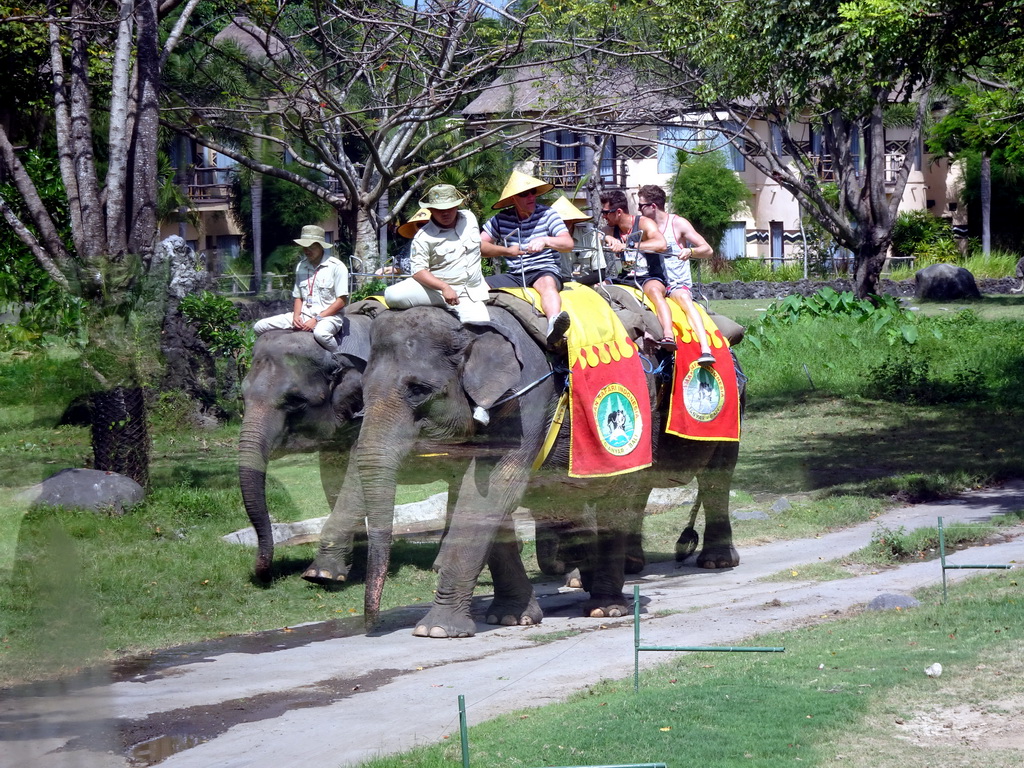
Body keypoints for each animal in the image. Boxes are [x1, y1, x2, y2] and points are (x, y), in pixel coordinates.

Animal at [299, 303, 741, 638]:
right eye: (363, 390)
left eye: (418, 390)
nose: (369, 626)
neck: (472, 330)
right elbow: (482, 500)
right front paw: (512, 618)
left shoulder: (525, 401)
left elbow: (490, 492)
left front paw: (435, 631)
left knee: (677, 486)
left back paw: (613, 605)